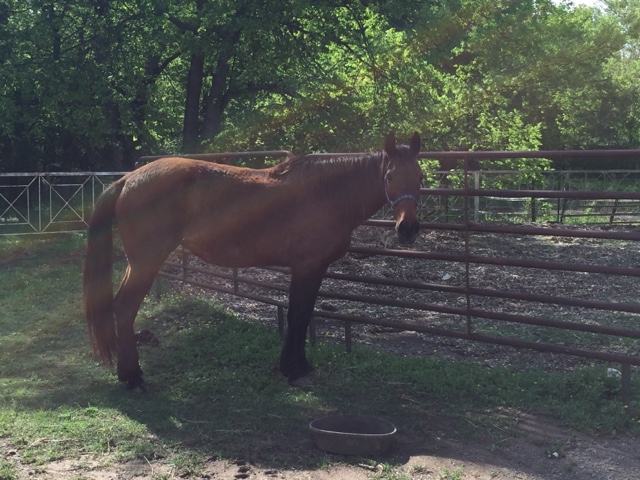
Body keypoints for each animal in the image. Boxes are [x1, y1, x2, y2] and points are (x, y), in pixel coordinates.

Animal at [83, 133, 423, 389]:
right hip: (146, 261)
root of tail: (129, 179)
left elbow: (303, 314)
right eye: (390, 176)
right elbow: (297, 316)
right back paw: (132, 377)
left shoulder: (315, 269)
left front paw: (299, 365)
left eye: (420, 177)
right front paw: (293, 369)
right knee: (125, 307)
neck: (325, 193)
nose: (407, 229)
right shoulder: (306, 266)